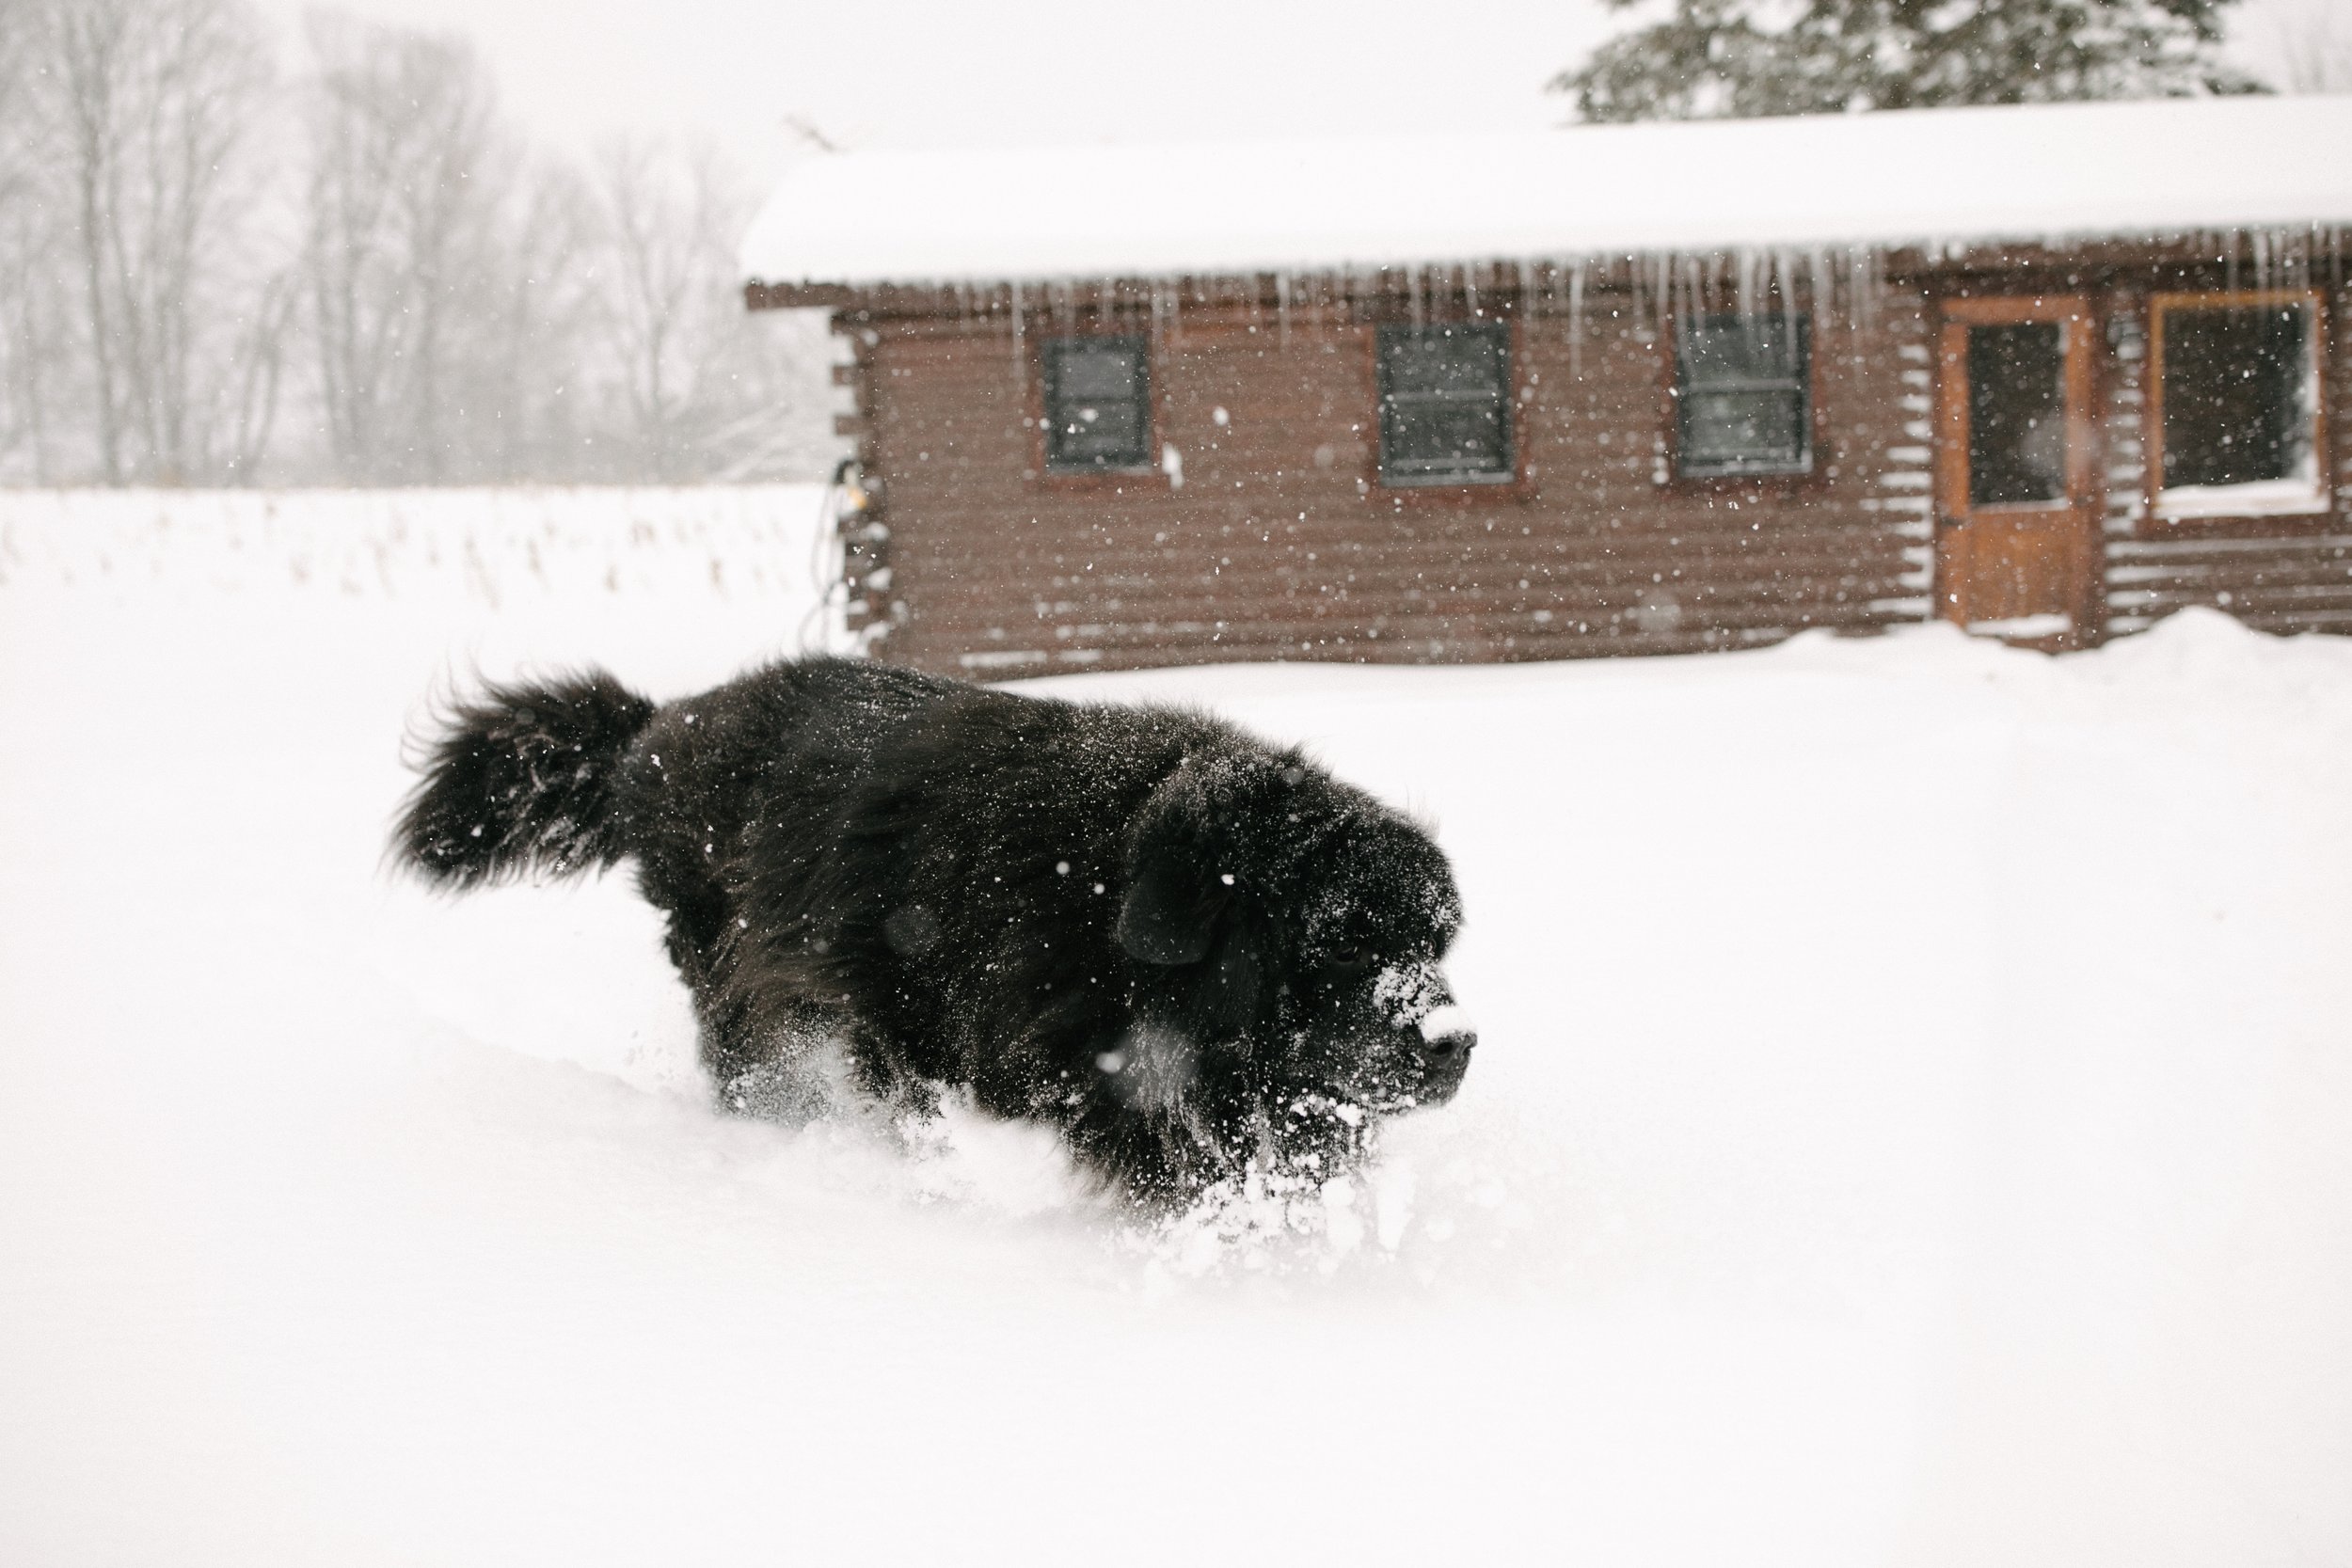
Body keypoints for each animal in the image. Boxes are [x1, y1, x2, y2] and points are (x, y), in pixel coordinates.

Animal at [397, 657, 1477, 1194]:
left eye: (1433, 944)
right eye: (1342, 938)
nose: (1452, 1039)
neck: (1108, 896)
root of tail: (661, 731)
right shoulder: (930, 1022)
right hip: (743, 990)